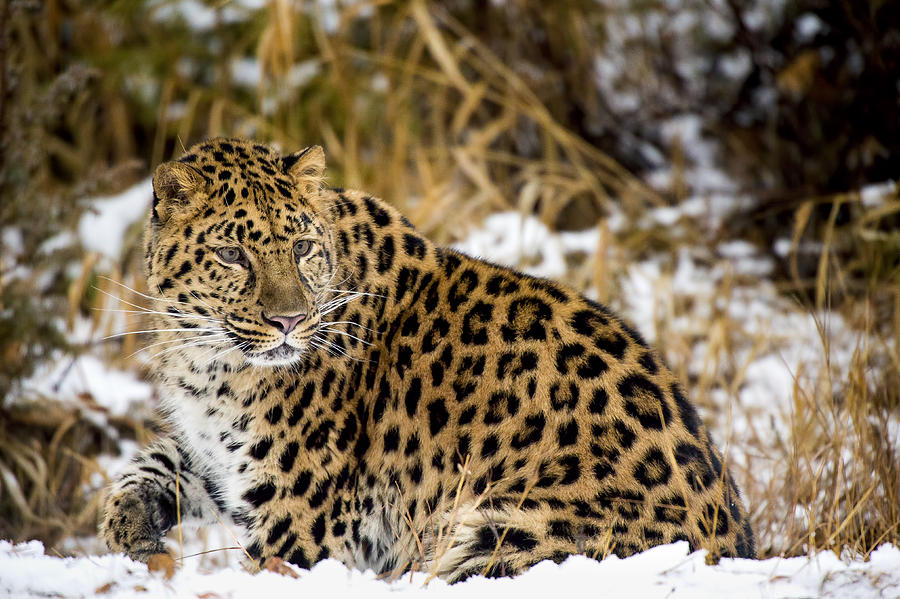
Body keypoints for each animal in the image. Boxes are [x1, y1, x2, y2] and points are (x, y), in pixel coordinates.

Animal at [102, 137, 756, 580]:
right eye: (232, 254)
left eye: (303, 247)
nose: (289, 321)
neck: (208, 358)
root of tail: (737, 547)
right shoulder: (213, 453)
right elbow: (142, 471)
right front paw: (132, 533)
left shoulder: (300, 525)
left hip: (499, 533)